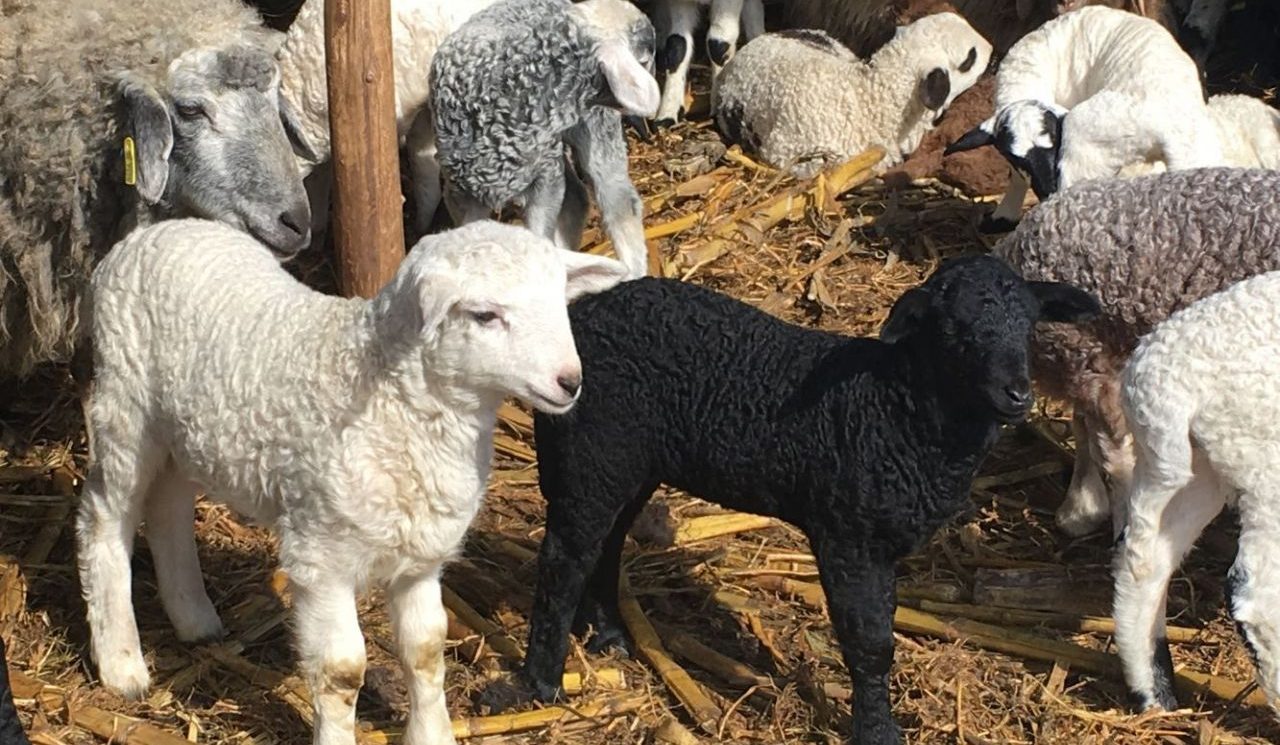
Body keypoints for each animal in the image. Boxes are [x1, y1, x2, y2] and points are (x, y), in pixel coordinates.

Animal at [76, 218, 628, 745]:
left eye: (559, 301)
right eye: (484, 315)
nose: (570, 382)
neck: (397, 403)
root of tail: (154, 232)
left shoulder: (420, 557)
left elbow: (426, 651)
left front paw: (434, 735)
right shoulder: (320, 557)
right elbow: (342, 672)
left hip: (180, 432)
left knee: (167, 506)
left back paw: (194, 619)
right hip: (125, 404)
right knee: (103, 519)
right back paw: (122, 662)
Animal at [429, 0, 661, 279]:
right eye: (645, 59)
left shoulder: (544, 182)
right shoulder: (460, 190)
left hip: (591, 129)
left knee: (618, 200)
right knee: (577, 198)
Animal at [486, 257, 1099, 744]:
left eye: (1029, 324)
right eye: (953, 329)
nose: (1016, 395)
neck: (896, 406)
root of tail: (582, 317)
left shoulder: (883, 542)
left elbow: (880, 637)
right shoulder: (850, 536)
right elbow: (868, 643)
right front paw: (877, 732)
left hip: (626, 465)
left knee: (604, 544)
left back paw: (609, 634)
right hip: (587, 455)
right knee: (564, 558)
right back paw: (540, 682)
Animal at [945, 6, 1209, 231]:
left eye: (1053, 142)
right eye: (1018, 157)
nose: (1048, 191)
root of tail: (1164, 131)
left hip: (1084, 156)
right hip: (1197, 152)